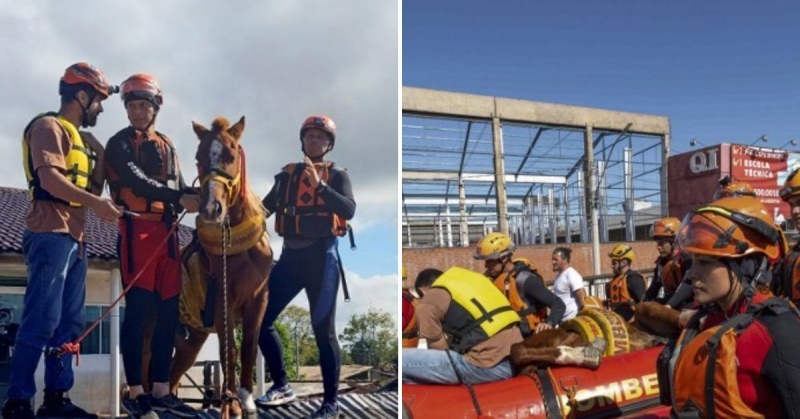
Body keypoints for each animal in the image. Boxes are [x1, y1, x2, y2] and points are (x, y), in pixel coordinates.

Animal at [155, 116, 274, 419]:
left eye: (231, 155)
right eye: (198, 158)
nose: (211, 209)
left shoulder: (259, 298)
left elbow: (248, 346)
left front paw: (246, 399)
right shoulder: (222, 301)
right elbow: (228, 349)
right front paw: (230, 402)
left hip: (190, 340)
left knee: (173, 374)